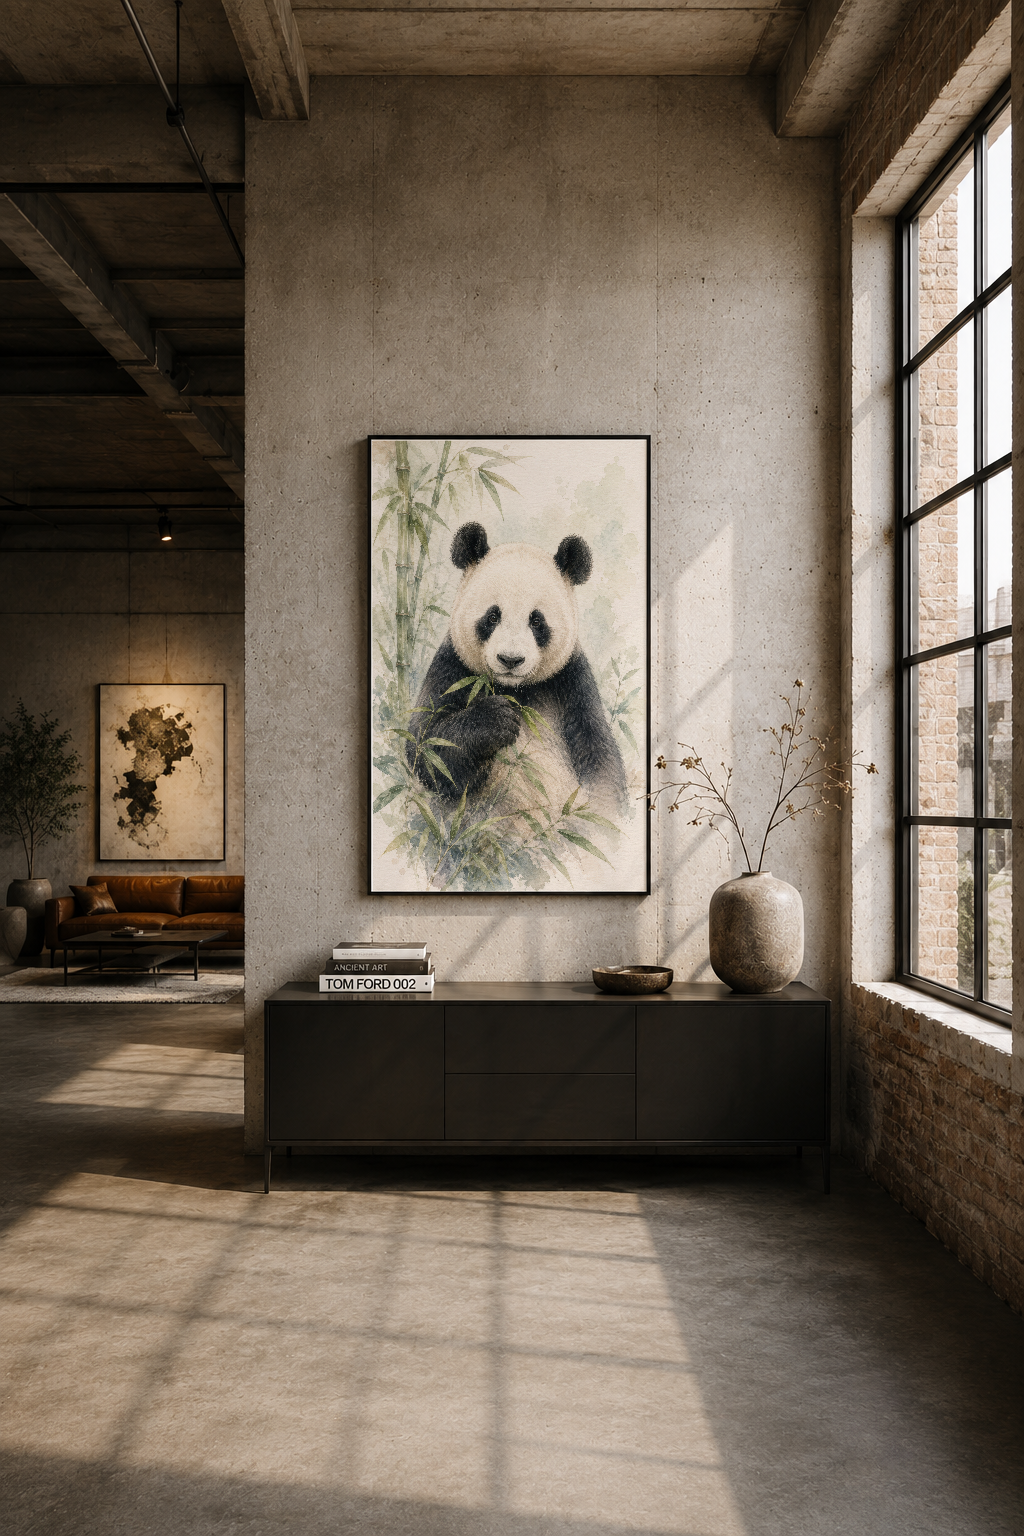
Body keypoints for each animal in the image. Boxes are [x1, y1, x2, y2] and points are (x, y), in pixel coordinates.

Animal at [407, 520, 626, 814]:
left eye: (536, 621)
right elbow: (428, 747)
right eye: (492, 616)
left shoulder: (571, 682)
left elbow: (600, 759)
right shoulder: (453, 667)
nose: (510, 659)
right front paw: (495, 719)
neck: (515, 690)